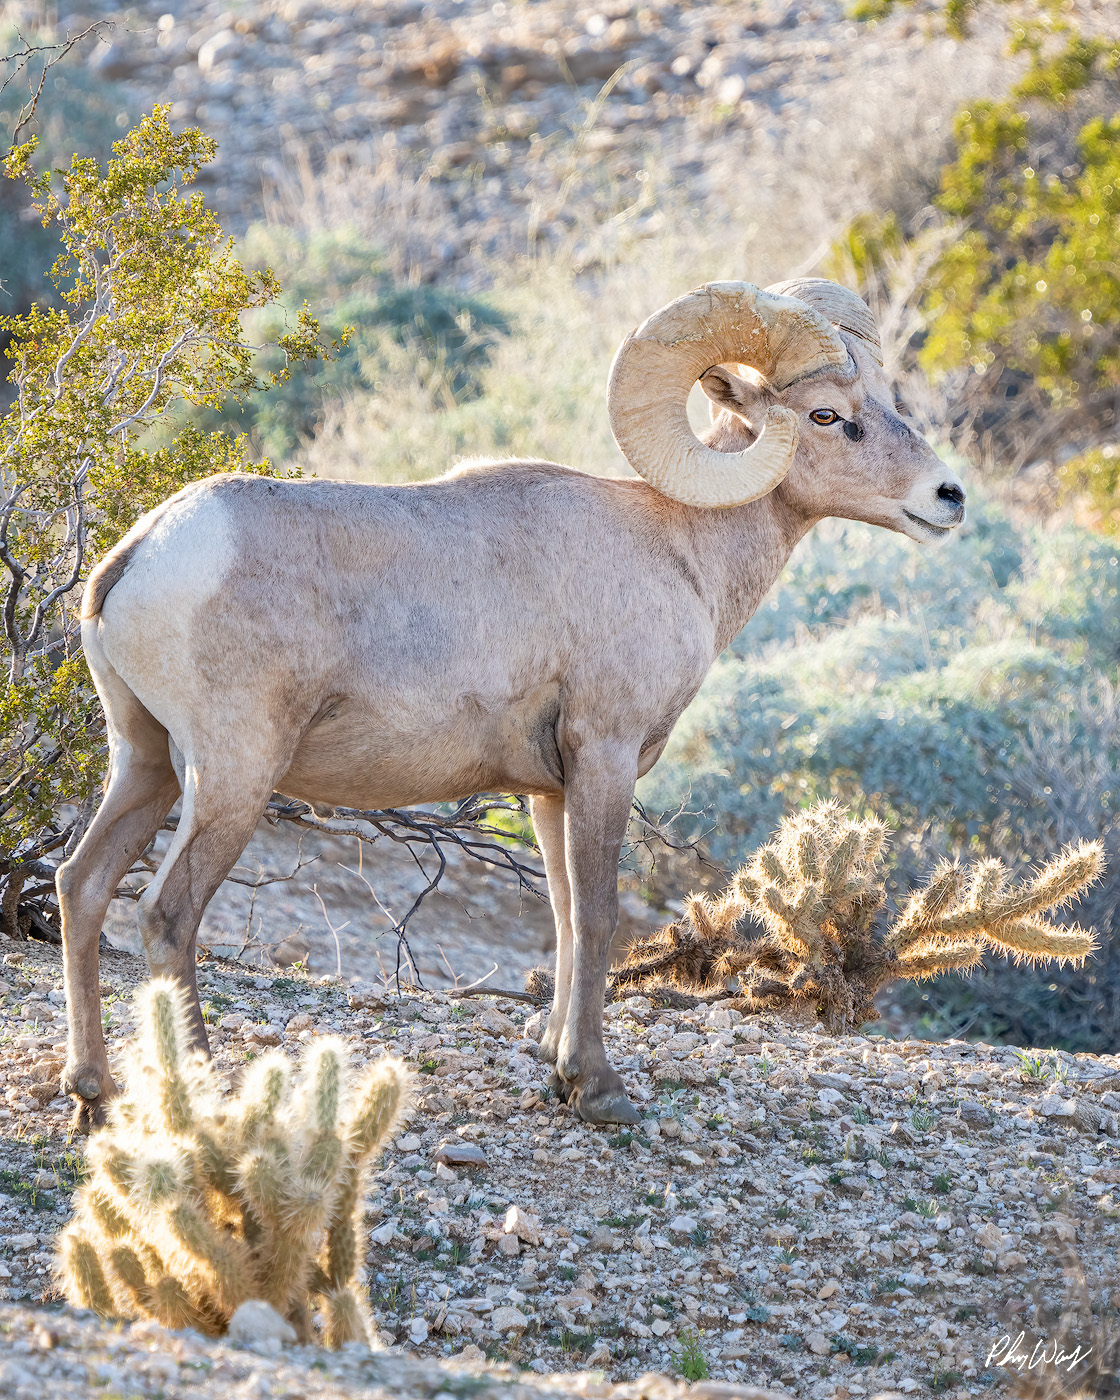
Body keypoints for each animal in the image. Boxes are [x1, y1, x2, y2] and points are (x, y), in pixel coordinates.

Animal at [57, 278, 965, 1130]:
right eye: (828, 415)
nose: (948, 496)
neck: (679, 547)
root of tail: (138, 556)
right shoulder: (604, 759)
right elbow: (596, 917)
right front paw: (596, 1089)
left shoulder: (547, 790)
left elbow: (560, 915)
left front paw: (553, 1059)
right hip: (232, 780)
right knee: (167, 916)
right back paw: (199, 1091)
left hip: (144, 765)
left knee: (81, 885)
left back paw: (91, 1093)